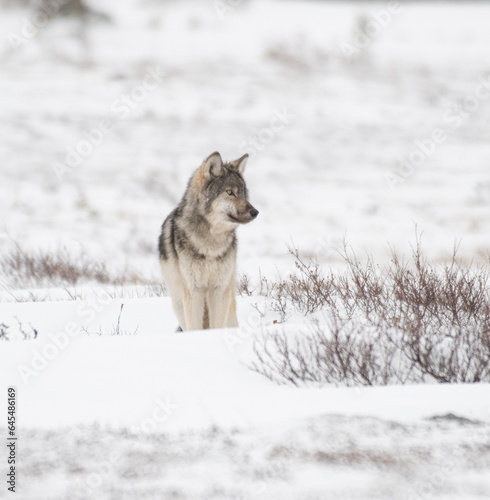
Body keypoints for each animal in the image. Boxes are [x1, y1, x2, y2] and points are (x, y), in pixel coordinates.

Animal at [160, 152, 260, 332]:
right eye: (230, 192)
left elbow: (217, 325)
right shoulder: (193, 290)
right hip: (178, 302)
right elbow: (194, 326)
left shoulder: (219, 289)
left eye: (244, 193)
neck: (211, 244)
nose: (255, 212)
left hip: (229, 302)